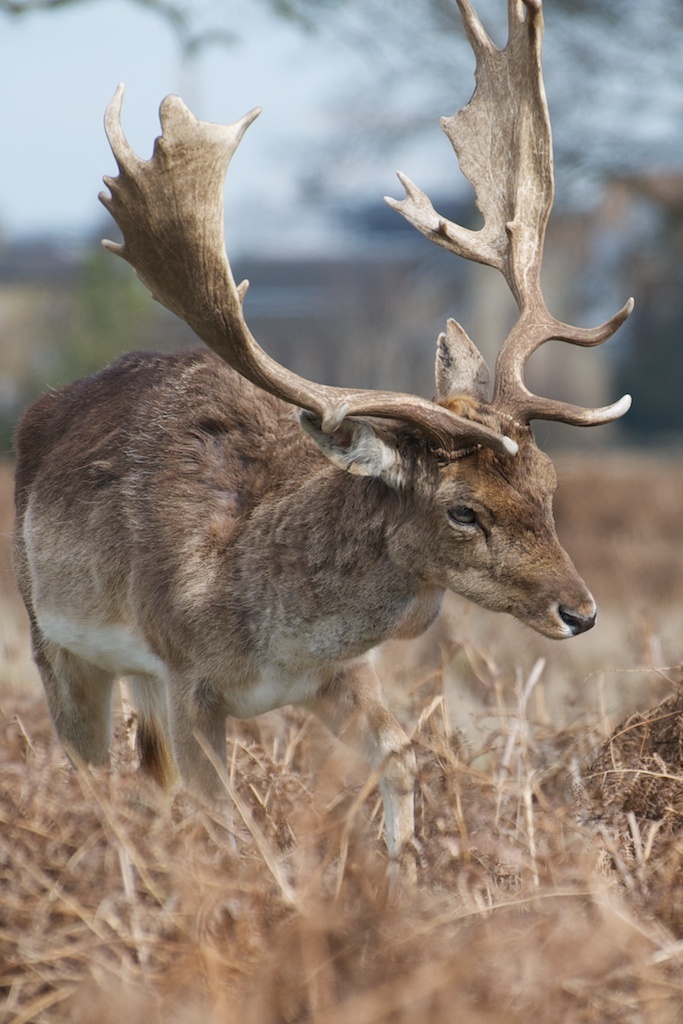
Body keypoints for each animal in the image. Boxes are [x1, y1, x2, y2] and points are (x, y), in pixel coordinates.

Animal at [12, 0, 630, 860]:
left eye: (548, 486)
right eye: (461, 510)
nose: (581, 612)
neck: (272, 630)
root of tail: (45, 407)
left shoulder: (340, 676)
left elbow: (401, 755)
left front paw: (400, 863)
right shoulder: (184, 676)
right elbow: (227, 822)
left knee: (145, 779)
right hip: (56, 642)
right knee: (92, 778)